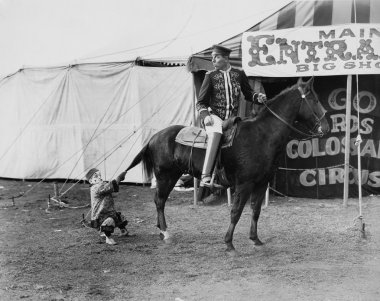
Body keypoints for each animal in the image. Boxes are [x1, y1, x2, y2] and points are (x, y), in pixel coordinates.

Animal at [121, 77, 330, 251]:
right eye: (314, 99)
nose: (326, 127)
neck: (262, 135)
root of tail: (154, 137)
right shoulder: (244, 184)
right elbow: (236, 212)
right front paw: (229, 243)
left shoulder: (262, 183)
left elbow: (255, 211)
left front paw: (255, 239)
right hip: (166, 176)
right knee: (159, 201)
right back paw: (165, 232)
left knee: (160, 201)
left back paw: (161, 230)